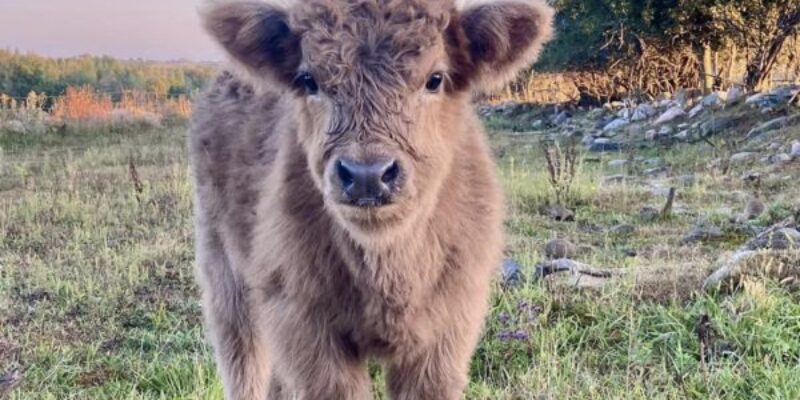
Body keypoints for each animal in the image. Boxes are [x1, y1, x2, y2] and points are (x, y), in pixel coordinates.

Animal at [191, 1, 552, 398]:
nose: (367, 175)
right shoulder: (305, 331)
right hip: (226, 279)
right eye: (309, 80)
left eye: (435, 79)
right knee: (245, 364)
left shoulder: (444, 339)